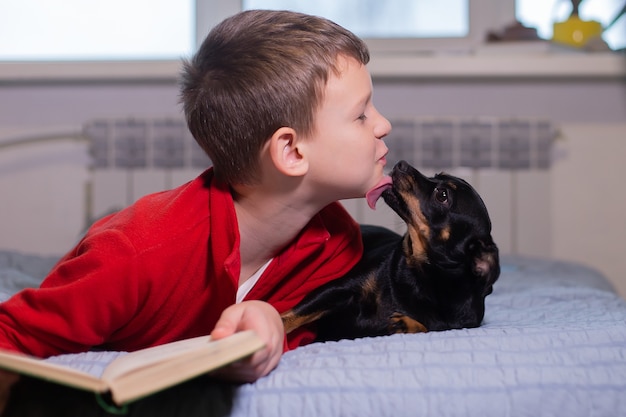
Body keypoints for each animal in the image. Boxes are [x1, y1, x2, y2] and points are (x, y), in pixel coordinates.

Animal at [280, 160, 500, 342]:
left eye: (442, 195)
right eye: (437, 175)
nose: (401, 163)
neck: (422, 274)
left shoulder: (455, 325)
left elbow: (428, 327)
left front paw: (409, 324)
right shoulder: (337, 289)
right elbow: (291, 316)